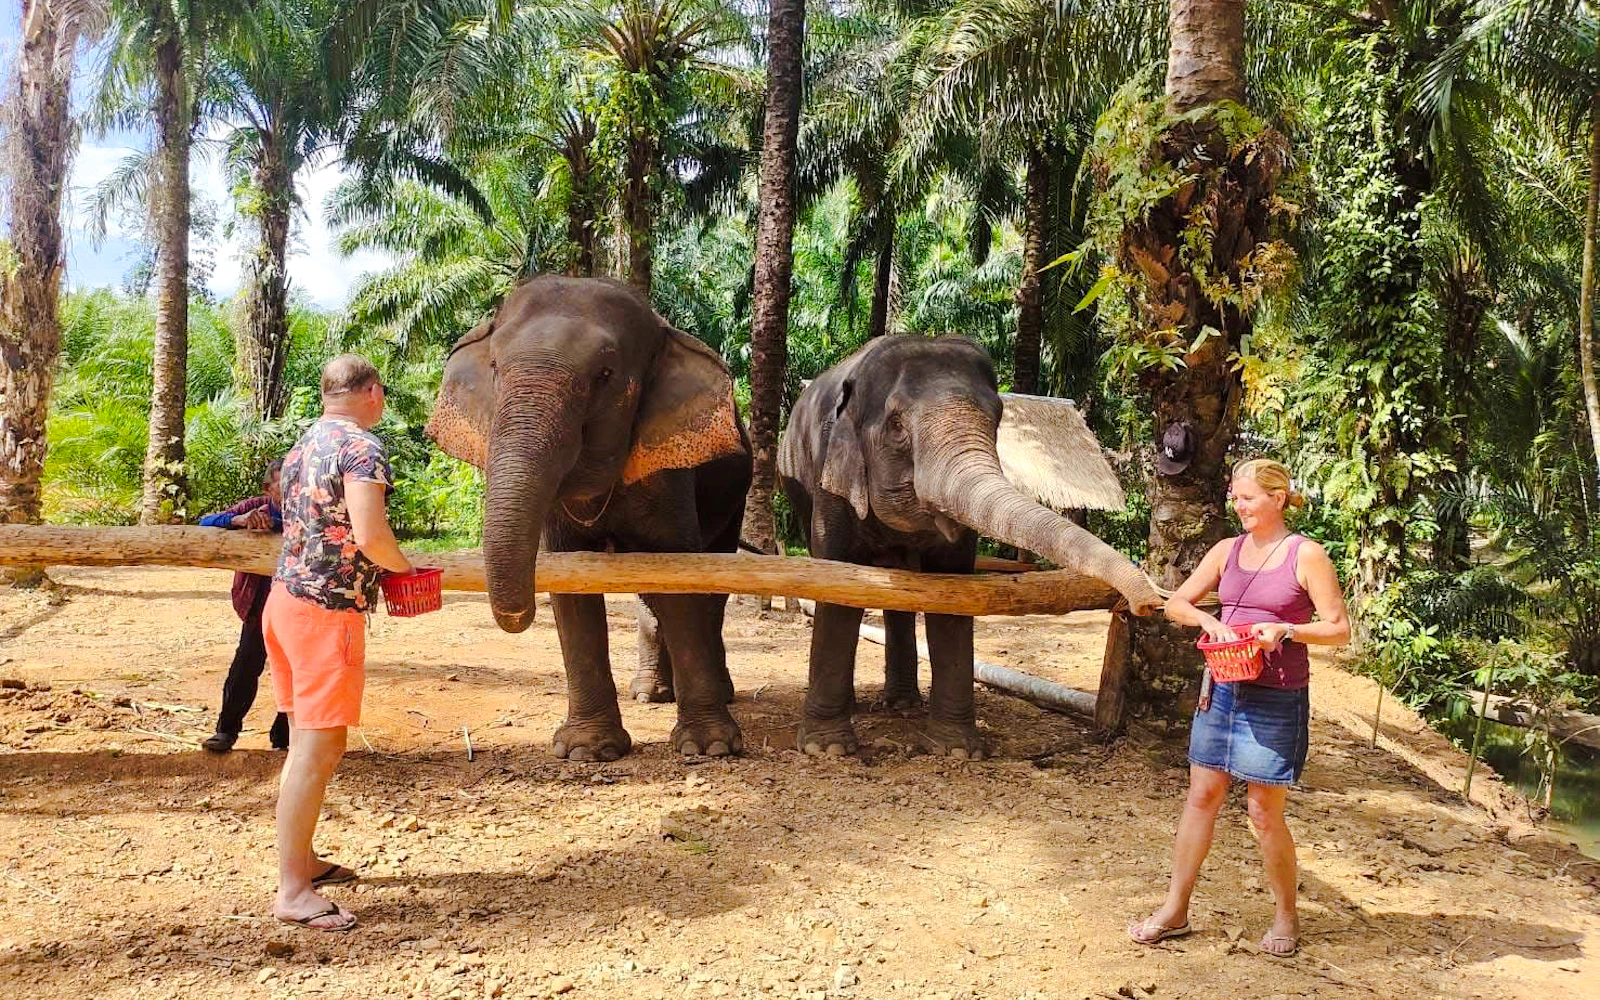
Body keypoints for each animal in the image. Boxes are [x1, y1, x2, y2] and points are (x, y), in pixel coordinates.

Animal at [426, 275, 752, 760]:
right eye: (495, 367)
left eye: (605, 375)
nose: (517, 618)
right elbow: (570, 584)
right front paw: (586, 751)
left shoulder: (670, 475)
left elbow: (681, 577)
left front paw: (709, 747)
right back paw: (651, 693)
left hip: (736, 498)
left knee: (714, 582)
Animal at [778, 334, 1163, 760]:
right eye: (896, 425)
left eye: (997, 418)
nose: (1150, 602)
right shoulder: (830, 482)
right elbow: (836, 586)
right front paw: (826, 749)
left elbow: (954, 593)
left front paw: (957, 751)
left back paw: (904, 706)